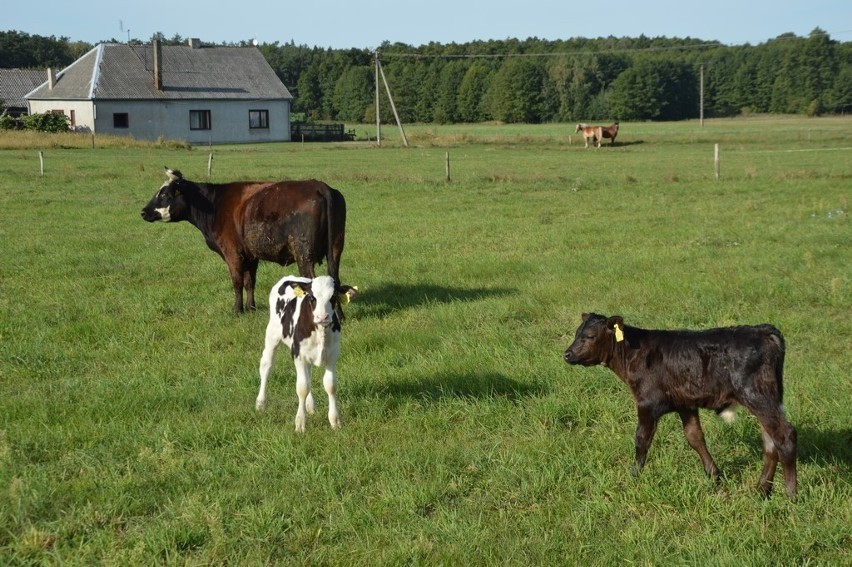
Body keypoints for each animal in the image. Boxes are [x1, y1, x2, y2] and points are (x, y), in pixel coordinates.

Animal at [143, 166, 346, 316]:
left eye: (164, 195)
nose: (143, 211)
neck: (214, 204)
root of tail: (319, 186)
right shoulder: (250, 255)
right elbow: (250, 282)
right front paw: (251, 307)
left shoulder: (232, 254)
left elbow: (237, 282)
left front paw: (237, 309)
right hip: (335, 248)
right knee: (334, 279)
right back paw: (339, 316)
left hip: (304, 254)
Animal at [255, 274, 358, 430]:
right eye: (312, 297)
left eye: (333, 296)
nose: (322, 317)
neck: (320, 333)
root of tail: (289, 277)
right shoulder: (299, 355)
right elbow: (302, 388)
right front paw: (300, 423)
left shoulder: (332, 355)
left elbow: (330, 385)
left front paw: (335, 421)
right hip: (272, 334)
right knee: (266, 366)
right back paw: (260, 402)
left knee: (308, 376)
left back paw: (310, 406)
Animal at [564, 312, 796, 500]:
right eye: (577, 333)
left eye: (590, 336)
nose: (567, 354)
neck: (633, 353)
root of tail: (762, 329)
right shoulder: (686, 404)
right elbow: (695, 437)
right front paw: (715, 476)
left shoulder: (647, 403)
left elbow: (641, 440)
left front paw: (634, 476)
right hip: (765, 398)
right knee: (770, 442)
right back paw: (762, 490)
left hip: (757, 395)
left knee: (784, 435)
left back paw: (790, 495)